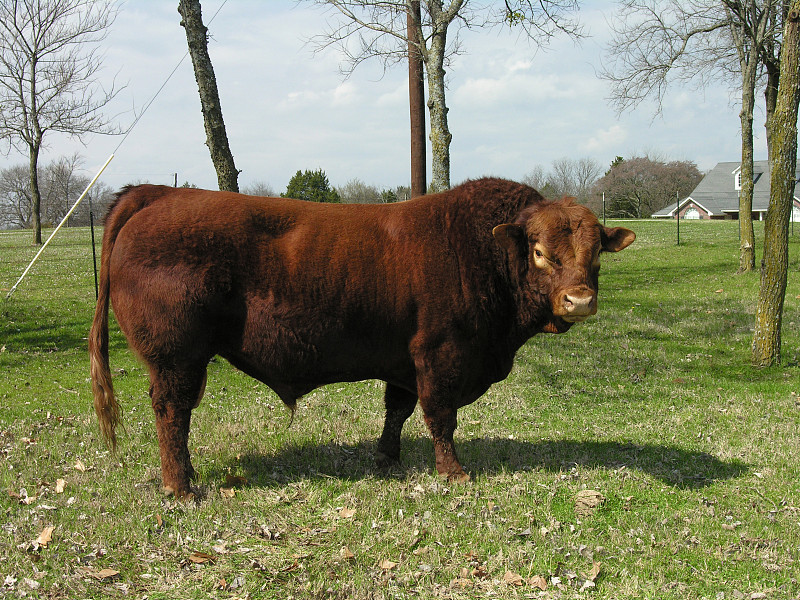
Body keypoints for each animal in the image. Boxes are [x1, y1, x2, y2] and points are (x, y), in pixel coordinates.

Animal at [89, 178, 636, 496]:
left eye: (597, 253)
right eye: (540, 253)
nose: (580, 300)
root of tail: (158, 193)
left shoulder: (403, 360)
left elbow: (398, 409)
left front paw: (386, 460)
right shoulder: (440, 354)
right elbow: (441, 417)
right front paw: (453, 472)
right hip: (176, 357)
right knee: (172, 412)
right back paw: (180, 487)